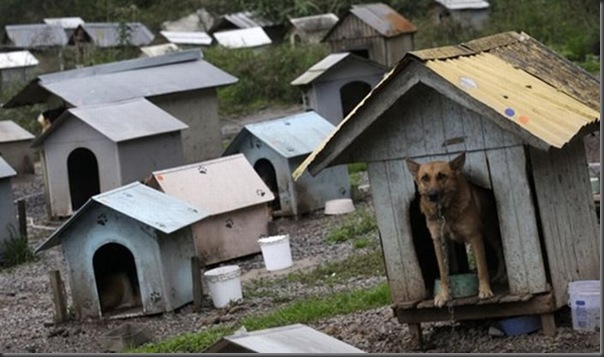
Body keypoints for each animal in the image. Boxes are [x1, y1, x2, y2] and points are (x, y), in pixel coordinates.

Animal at [406, 151, 504, 306]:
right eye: (425, 178)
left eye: (441, 176)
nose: (432, 195)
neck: (445, 211)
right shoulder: (439, 241)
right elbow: (443, 273)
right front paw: (444, 295)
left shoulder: (475, 237)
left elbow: (482, 268)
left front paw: (484, 290)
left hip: (490, 233)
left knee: (500, 251)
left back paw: (500, 275)